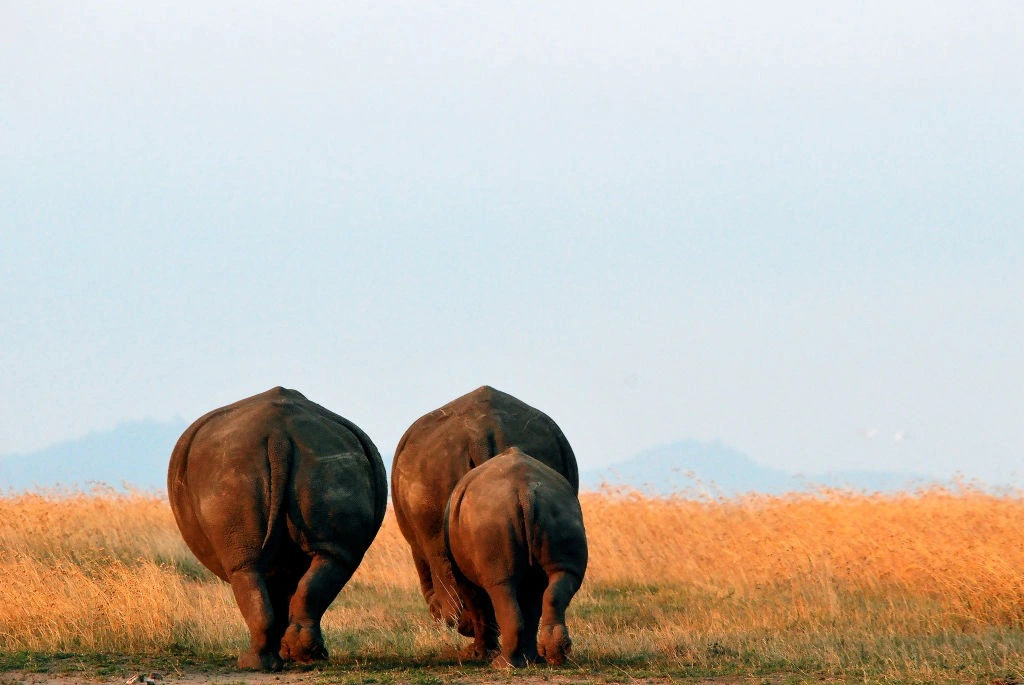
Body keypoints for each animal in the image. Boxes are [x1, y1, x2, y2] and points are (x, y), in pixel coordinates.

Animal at [167, 387, 387, 671]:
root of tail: (279, 436)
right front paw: (288, 654)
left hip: (231, 471)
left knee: (246, 568)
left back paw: (252, 664)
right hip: (330, 466)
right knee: (332, 559)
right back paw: (307, 657)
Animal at [445, 447, 588, 667]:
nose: (461, 628)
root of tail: (525, 491)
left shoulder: (463, 577)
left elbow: (478, 605)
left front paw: (478, 655)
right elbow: (531, 606)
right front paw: (531, 659)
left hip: (492, 519)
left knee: (501, 586)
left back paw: (502, 664)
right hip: (558, 508)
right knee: (561, 577)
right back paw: (551, 656)